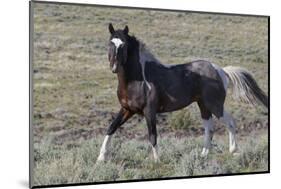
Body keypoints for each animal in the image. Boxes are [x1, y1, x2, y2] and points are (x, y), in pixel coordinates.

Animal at [95, 23, 266, 162]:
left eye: (123, 45)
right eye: (110, 43)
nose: (114, 67)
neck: (138, 80)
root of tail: (220, 70)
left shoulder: (149, 111)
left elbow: (152, 135)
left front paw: (157, 160)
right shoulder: (127, 109)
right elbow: (111, 128)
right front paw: (101, 158)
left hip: (215, 105)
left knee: (230, 122)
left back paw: (233, 151)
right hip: (203, 105)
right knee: (209, 128)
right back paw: (204, 155)